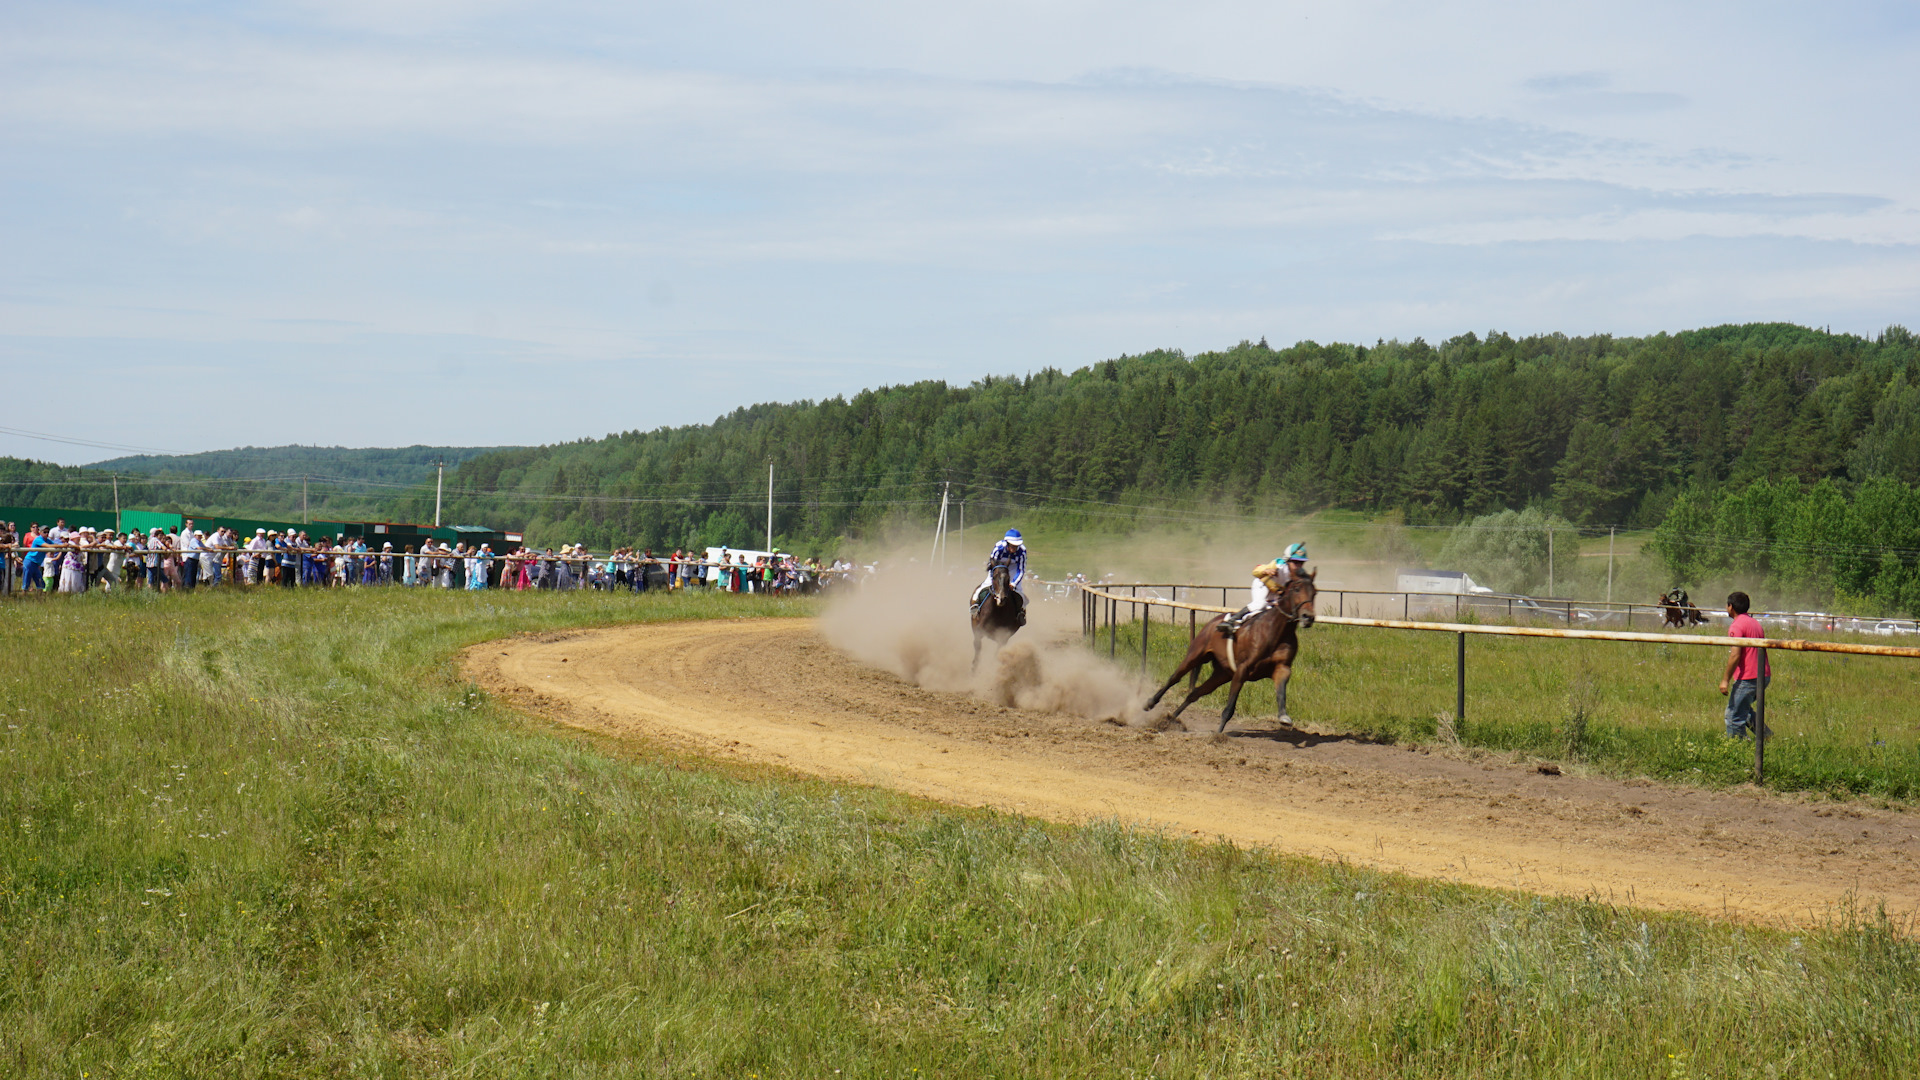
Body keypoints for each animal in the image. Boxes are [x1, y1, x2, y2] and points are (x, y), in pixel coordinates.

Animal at [1136, 572, 1320, 730]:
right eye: (1297, 589)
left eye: (1315, 592)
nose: (1308, 617)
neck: (1277, 630)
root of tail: (1211, 623)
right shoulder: (1242, 670)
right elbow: (1229, 709)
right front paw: (1217, 736)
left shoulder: (1281, 667)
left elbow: (1281, 693)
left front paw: (1284, 717)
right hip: (1195, 655)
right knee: (1174, 678)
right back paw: (1149, 703)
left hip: (1222, 674)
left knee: (1194, 693)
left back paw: (1170, 720)